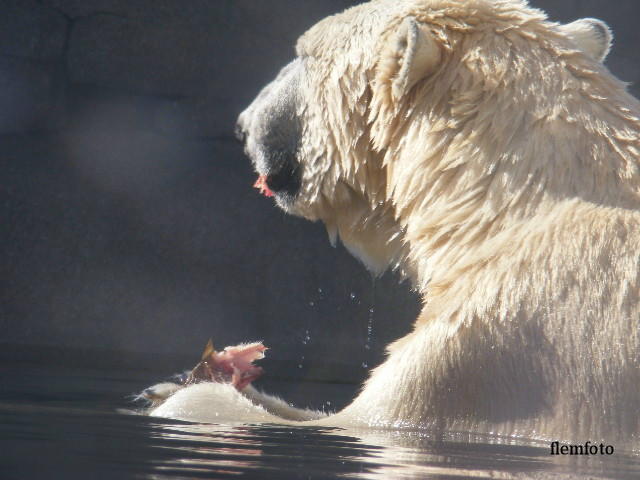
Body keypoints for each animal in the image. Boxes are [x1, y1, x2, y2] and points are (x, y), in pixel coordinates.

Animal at [152, 0, 636, 444]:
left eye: (304, 54)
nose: (243, 122)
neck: (503, 209)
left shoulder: (484, 351)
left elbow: (355, 418)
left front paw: (182, 390)